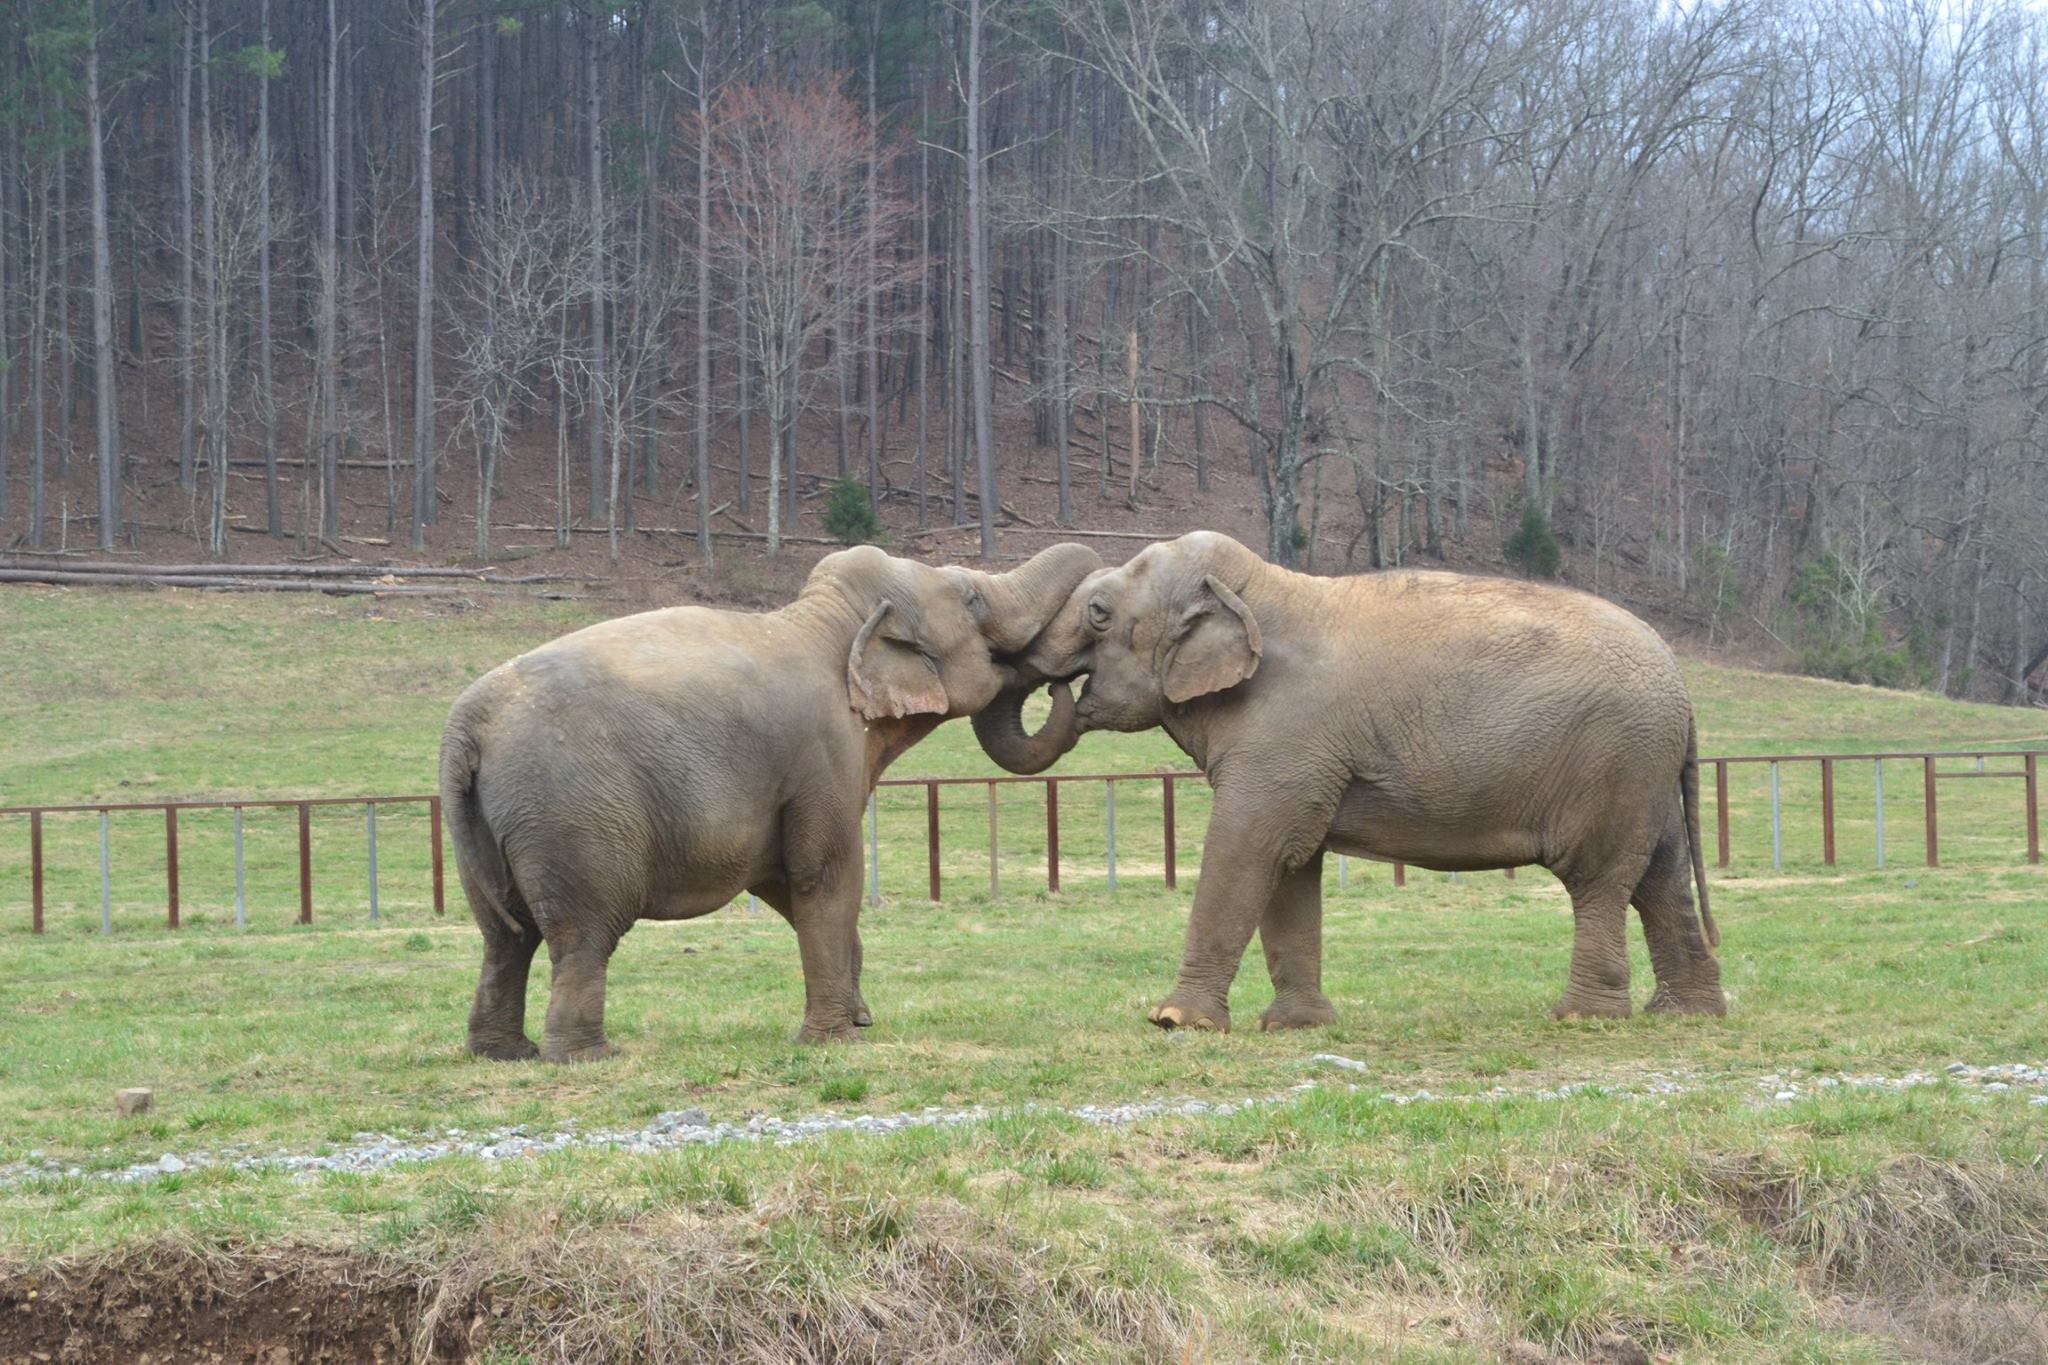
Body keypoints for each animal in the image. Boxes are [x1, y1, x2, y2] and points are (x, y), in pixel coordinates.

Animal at [440, 541, 1100, 1060]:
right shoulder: (822, 753)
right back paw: (587, 1056)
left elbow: (781, 882)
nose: (1065, 681)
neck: (824, 620)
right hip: (575, 816)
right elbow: (826, 877)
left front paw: (860, 1018)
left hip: (490, 824)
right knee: (582, 933)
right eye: (970, 599)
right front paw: (837, 1041)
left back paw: (504, 1053)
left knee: (505, 937)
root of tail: (465, 727)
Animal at [974, 530, 1723, 1031]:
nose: (1062, 689)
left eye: (1098, 613)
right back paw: (1685, 1014)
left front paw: (1175, 1023)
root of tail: (1684, 689)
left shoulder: (1286, 733)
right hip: (1643, 771)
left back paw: (1582, 1017)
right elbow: (1289, 863)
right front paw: (1297, 1027)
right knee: (1660, 878)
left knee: (1598, 881)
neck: (1258, 588)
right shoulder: (1296, 753)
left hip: (1614, 763)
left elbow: (1249, 848)